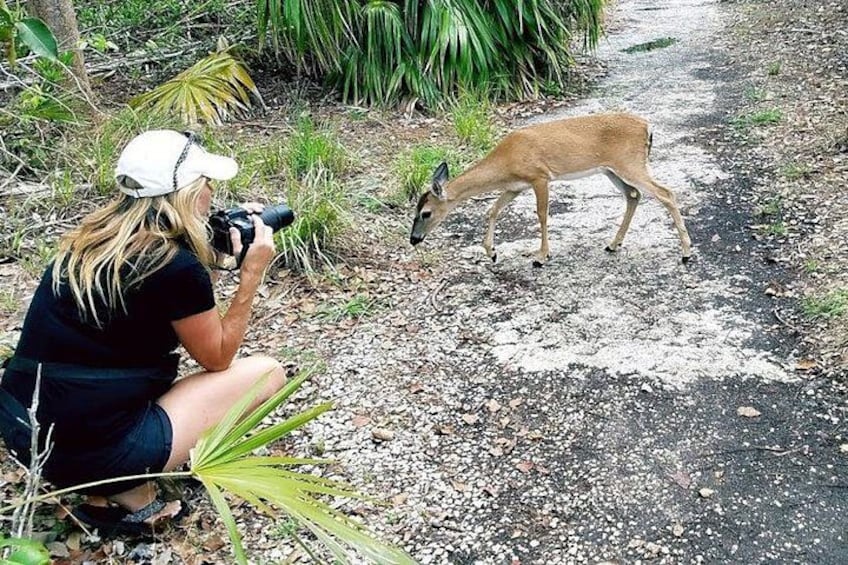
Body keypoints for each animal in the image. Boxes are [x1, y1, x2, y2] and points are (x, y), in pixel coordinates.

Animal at [409, 112, 692, 266]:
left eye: (425, 213)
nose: (413, 239)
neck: (506, 161)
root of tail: (648, 126)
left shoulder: (539, 176)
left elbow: (542, 215)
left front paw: (541, 256)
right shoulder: (515, 186)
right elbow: (493, 210)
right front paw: (492, 253)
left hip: (630, 163)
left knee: (666, 193)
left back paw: (686, 252)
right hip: (612, 169)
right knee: (634, 195)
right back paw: (613, 244)